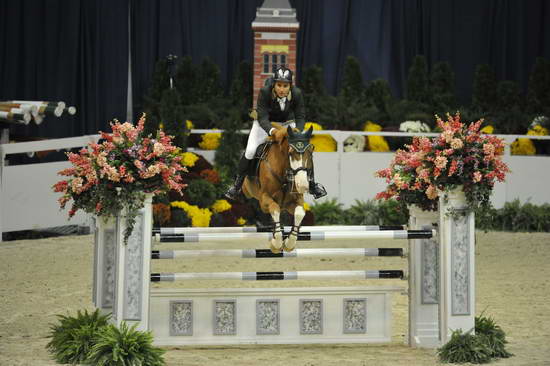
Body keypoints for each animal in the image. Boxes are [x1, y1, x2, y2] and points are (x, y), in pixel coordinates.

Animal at [243, 124, 314, 253]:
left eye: (310, 153)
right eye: (290, 153)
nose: (302, 185)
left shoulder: (293, 201)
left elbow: (300, 213)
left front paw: (289, 243)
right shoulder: (264, 199)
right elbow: (274, 208)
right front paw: (276, 244)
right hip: (247, 189)